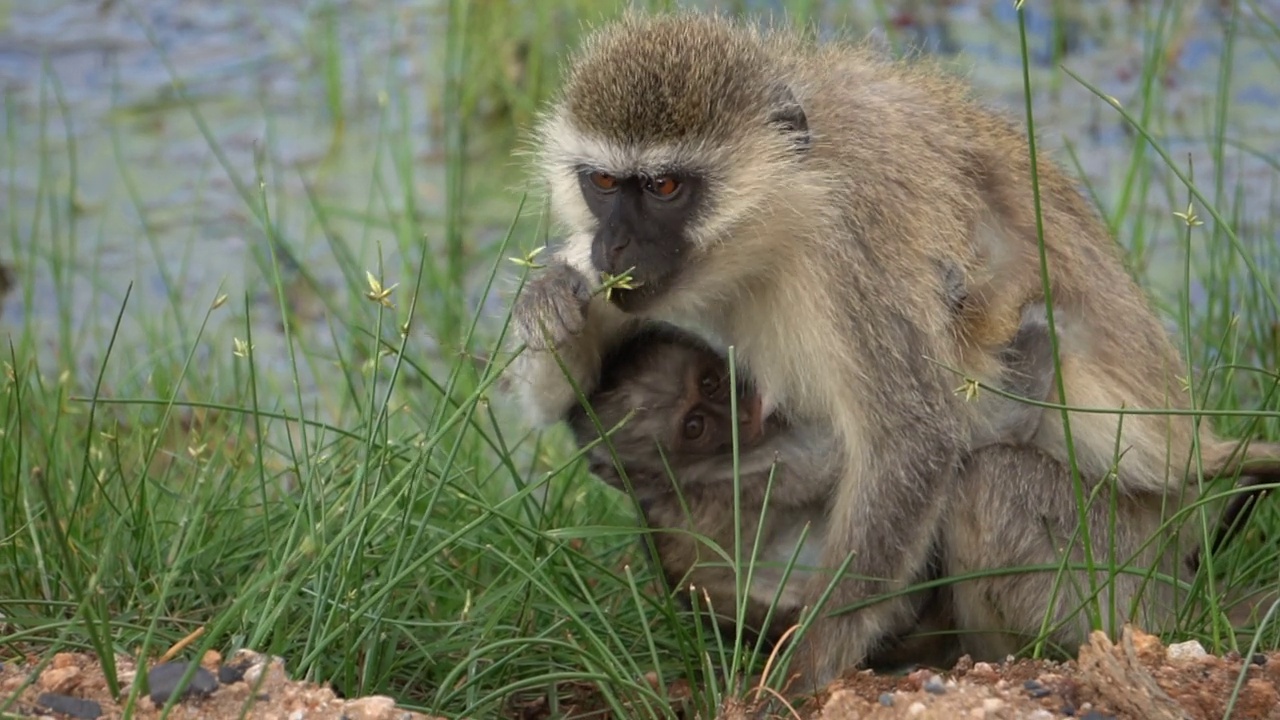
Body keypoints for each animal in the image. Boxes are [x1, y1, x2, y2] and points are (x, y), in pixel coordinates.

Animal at [509, 12, 1280, 681]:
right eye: (604, 182)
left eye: (665, 185)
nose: (613, 246)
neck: (783, 210)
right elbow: (584, 389)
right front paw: (551, 304)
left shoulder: (854, 251)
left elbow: (914, 441)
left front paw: (802, 671)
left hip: (1125, 576)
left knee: (988, 484)